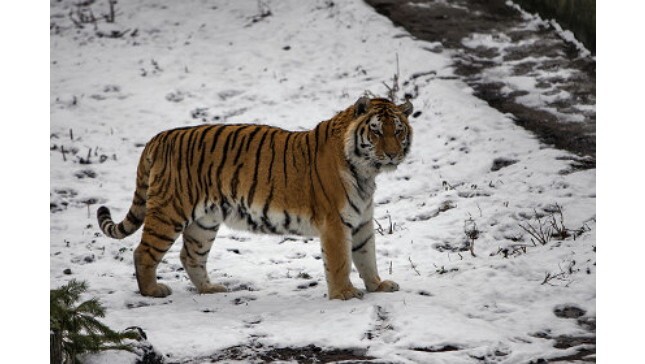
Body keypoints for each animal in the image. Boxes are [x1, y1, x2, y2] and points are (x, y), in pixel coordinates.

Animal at [98, 95, 416, 300]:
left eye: (398, 131)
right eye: (376, 132)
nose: (392, 154)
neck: (366, 172)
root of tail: (158, 138)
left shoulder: (361, 221)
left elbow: (367, 256)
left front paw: (377, 286)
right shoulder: (335, 224)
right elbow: (340, 262)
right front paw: (344, 294)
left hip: (204, 222)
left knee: (190, 255)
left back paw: (209, 289)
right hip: (170, 211)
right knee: (143, 252)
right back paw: (152, 291)